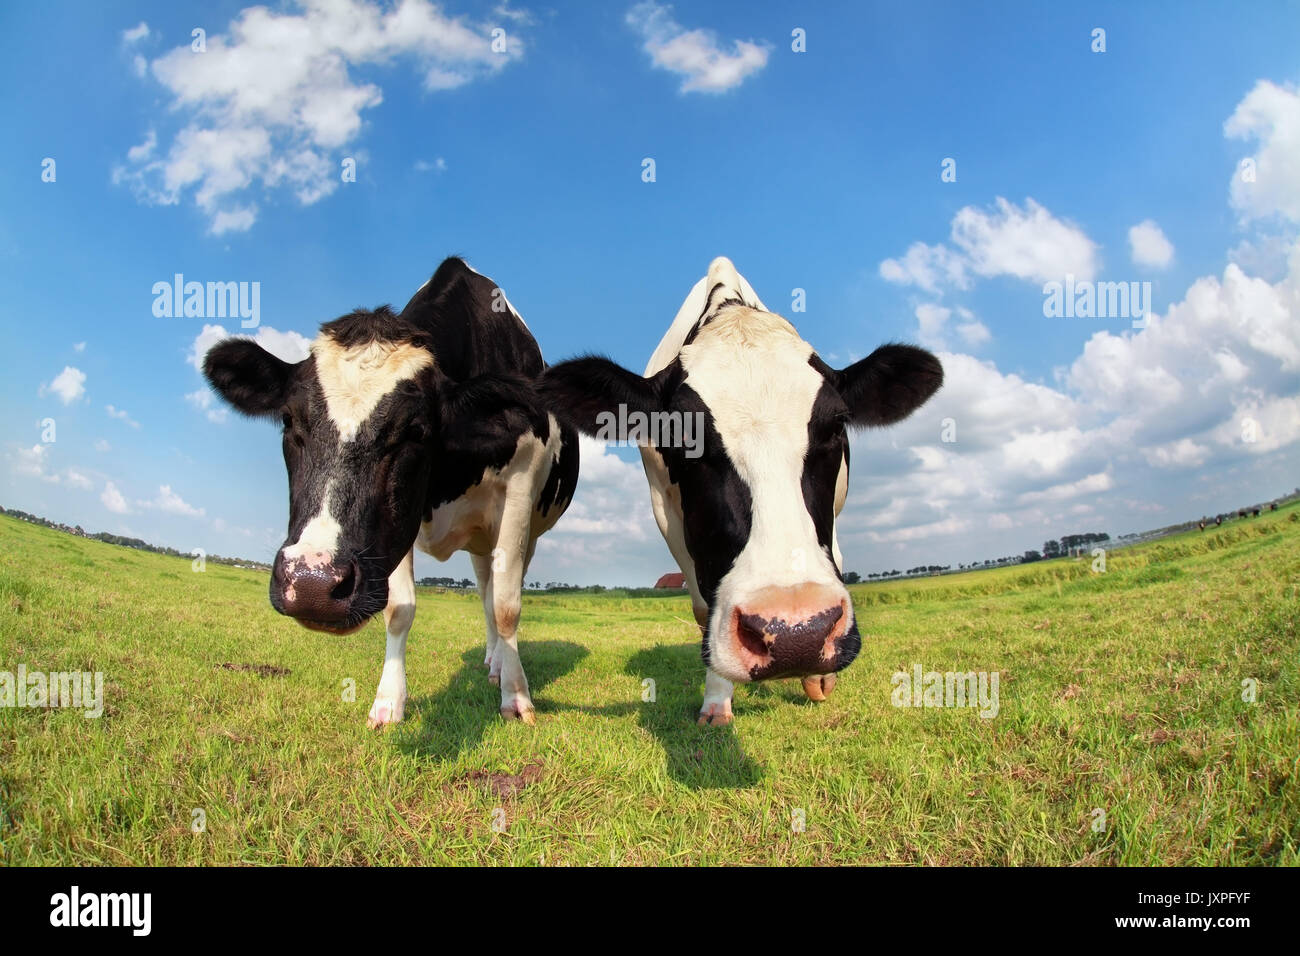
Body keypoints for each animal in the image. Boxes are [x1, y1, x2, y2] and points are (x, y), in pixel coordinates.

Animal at [203, 258, 579, 727]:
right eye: (289, 421)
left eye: (416, 431)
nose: (311, 585)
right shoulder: (395, 526)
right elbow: (400, 609)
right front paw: (387, 703)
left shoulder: (518, 494)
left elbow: (508, 607)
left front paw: (517, 697)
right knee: (483, 587)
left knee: (498, 593)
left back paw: (499, 666)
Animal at [542, 257, 942, 724]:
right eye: (681, 437)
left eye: (837, 425)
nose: (797, 635)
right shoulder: (668, 515)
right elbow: (703, 603)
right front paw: (716, 700)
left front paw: (817, 679)